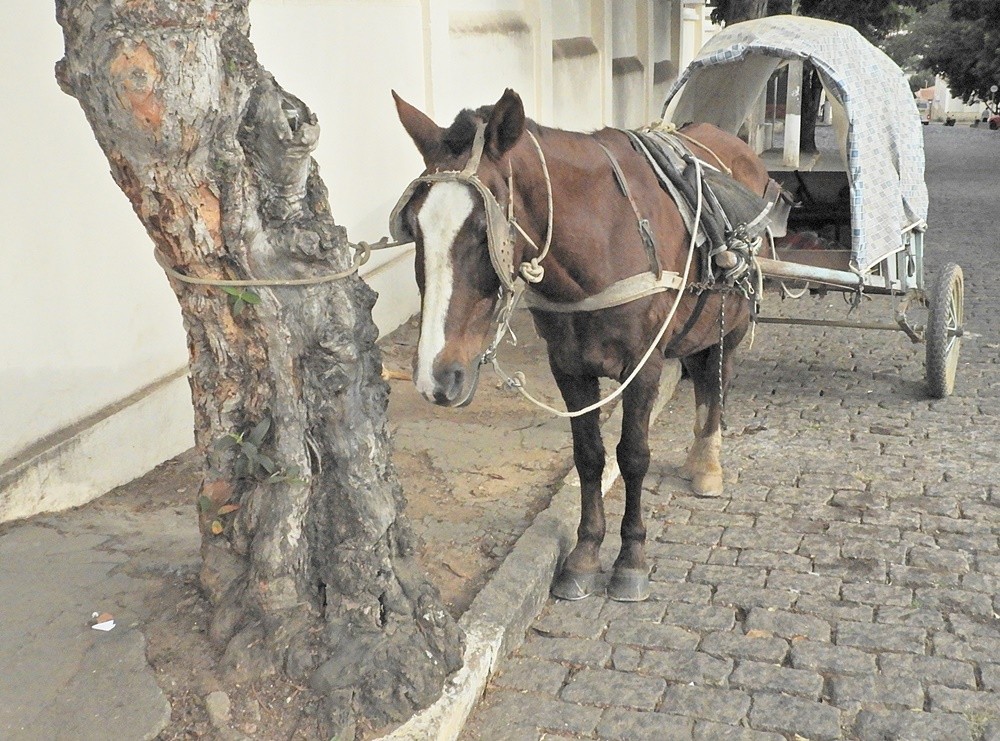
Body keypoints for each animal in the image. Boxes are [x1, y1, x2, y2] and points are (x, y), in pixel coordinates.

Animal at [390, 88, 772, 600]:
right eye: (414, 227)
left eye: (481, 230)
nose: (437, 375)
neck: (606, 234)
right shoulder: (569, 367)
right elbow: (589, 457)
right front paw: (586, 552)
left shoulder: (643, 366)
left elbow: (633, 456)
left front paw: (631, 558)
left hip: (733, 324)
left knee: (717, 379)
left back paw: (708, 462)